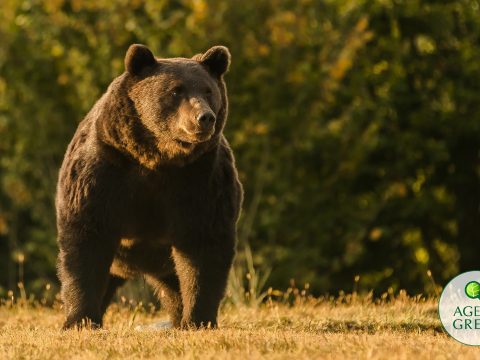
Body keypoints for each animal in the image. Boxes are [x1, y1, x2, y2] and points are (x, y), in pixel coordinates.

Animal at [56, 43, 244, 330]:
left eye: (208, 90)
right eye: (176, 90)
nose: (205, 118)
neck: (157, 157)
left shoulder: (201, 179)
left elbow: (204, 245)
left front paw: (198, 319)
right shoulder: (103, 171)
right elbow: (86, 239)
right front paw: (80, 320)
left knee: (174, 286)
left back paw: (178, 319)